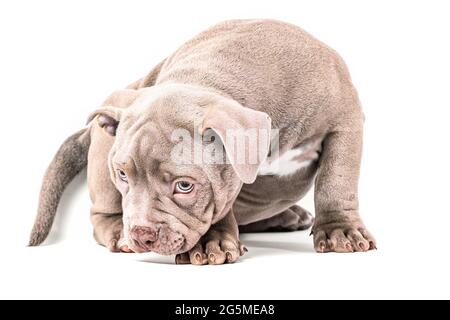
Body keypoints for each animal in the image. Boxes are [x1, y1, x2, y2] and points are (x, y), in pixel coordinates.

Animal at [29, 19, 376, 264]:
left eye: (184, 186)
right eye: (123, 176)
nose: (141, 234)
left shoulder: (345, 120)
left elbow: (336, 180)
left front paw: (339, 230)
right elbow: (223, 207)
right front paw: (212, 243)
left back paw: (286, 216)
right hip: (105, 143)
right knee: (100, 216)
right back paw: (119, 232)